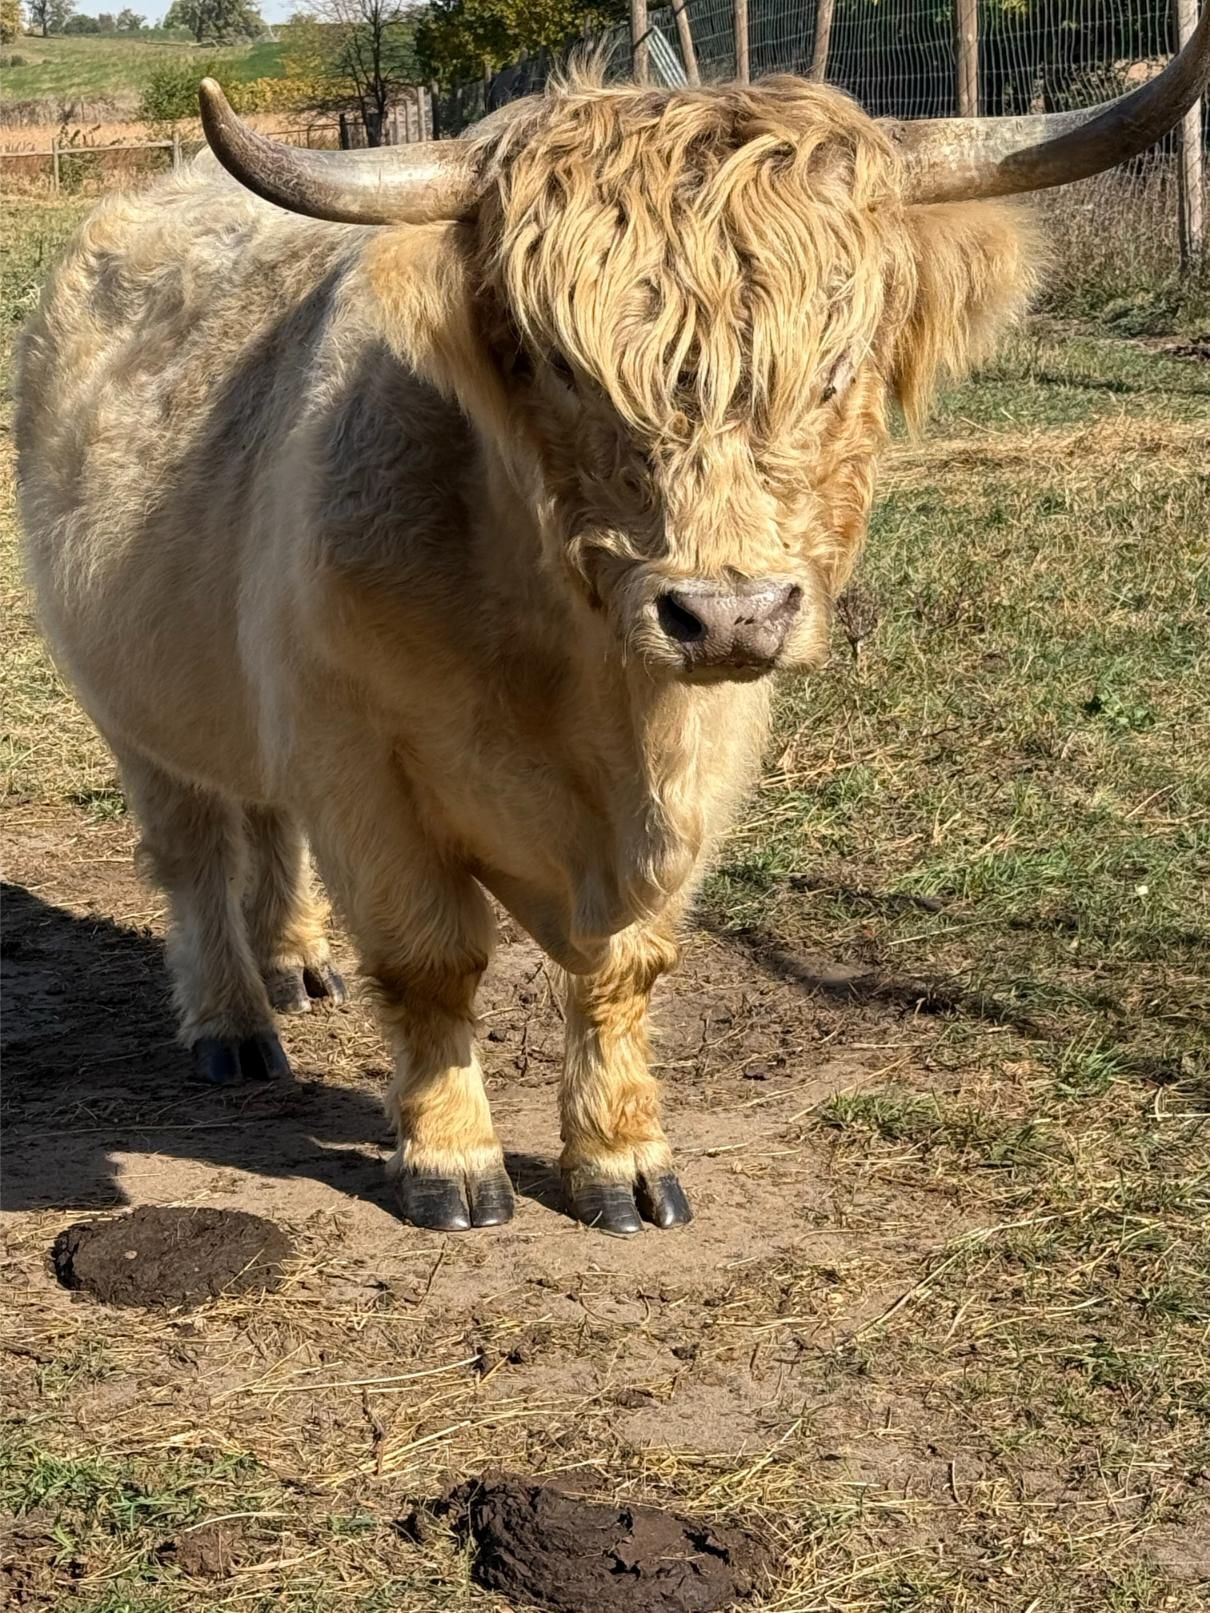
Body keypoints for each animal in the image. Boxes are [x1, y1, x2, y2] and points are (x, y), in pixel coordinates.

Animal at [16, 26, 1209, 1235]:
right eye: (558, 365)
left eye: (839, 364)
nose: (726, 614)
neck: (575, 675)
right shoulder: (355, 757)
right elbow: (430, 959)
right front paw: (452, 1158)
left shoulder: (701, 767)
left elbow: (624, 966)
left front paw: (620, 1154)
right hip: (132, 704)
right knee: (198, 852)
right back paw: (232, 1018)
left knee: (265, 825)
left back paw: (298, 961)